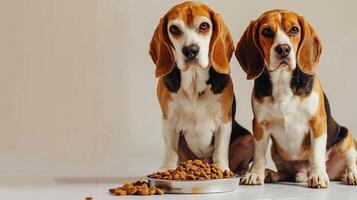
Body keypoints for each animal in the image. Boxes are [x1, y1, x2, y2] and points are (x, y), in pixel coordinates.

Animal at [149, 1, 252, 173]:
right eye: (174, 29)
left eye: (204, 26)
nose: (191, 50)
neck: (194, 83)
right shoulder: (168, 121)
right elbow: (170, 150)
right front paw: (166, 169)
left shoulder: (223, 121)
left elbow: (220, 150)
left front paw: (221, 169)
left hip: (247, 139)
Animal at [235, 9, 354, 188]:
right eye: (266, 31)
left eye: (294, 30)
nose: (283, 49)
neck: (282, 81)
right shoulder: (260, 125)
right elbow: (259, 154)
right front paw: (255, 174)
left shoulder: (317, 123)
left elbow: (316, 153)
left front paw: (318, 175)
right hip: (276, 151)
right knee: (286, 173)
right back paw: (271, 174)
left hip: (348, 140)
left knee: (350, 162)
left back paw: (350, 175)